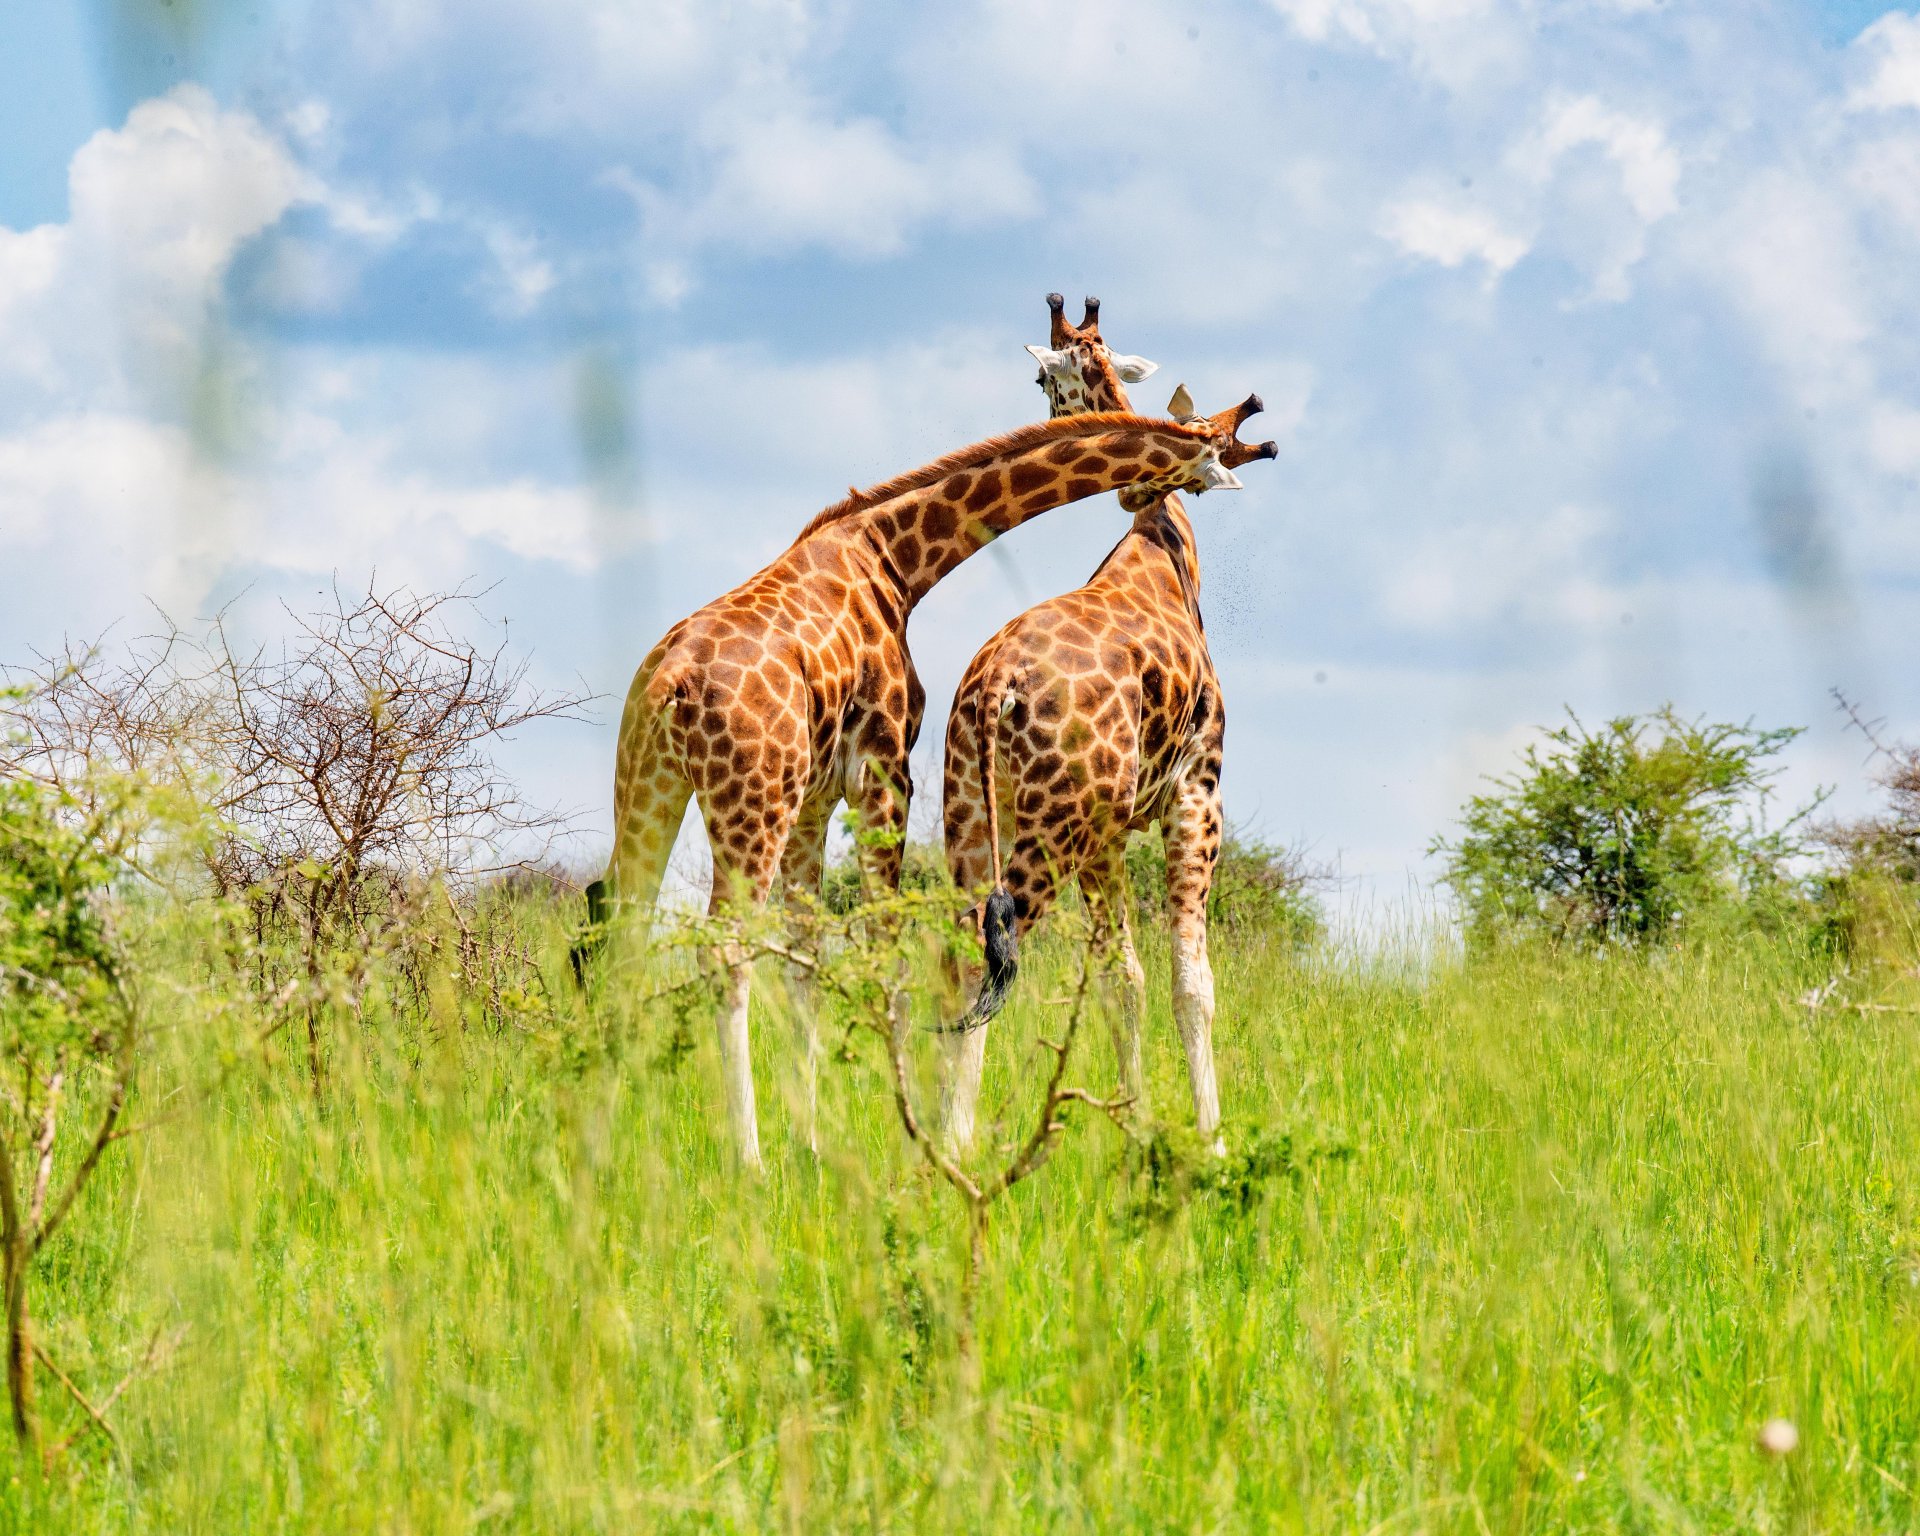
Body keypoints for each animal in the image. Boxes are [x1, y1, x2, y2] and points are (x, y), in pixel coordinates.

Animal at [585, 397, 1277, 1169]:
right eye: (1225, 439)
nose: (1264, 446)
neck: (896, 557)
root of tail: (670, 682)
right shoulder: (883, 775)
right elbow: (886, 955)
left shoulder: (817, 800)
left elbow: (806, 964)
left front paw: (815, 1142)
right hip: (755, 799)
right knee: (730, 950)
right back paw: (752, 1160)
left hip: (651, 787)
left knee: (624, 934)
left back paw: (602, 1147)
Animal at [939, 295, 1276, 1151]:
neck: (1161, 546)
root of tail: (997, 688)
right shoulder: (1196, 793)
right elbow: (1191, 980)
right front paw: (1210, 1138)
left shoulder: (1109, 832)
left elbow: (1122, 974)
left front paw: (1135, 1122)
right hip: (1052, 823)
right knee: (988, 946)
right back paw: (951, 1142)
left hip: (974, 811)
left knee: (956, 944)